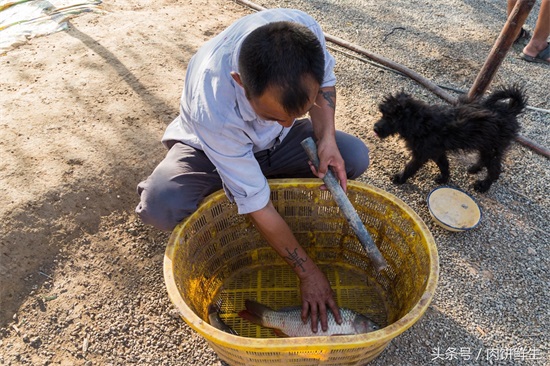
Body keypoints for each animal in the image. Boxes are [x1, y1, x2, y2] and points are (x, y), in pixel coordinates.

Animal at [376, 86, 528, 193]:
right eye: (383, 114)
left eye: (390, 118)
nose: (375, 128)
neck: (421, 122)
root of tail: (510, 110)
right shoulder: (437, 152)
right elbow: (444, 165)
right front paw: (444, 178)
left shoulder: (422, 154)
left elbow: (410, 167)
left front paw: (399, 178)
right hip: (486, 146)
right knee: (484, 160)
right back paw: (474, 169)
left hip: (493, 148)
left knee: (494, 170)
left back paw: (483, 186)